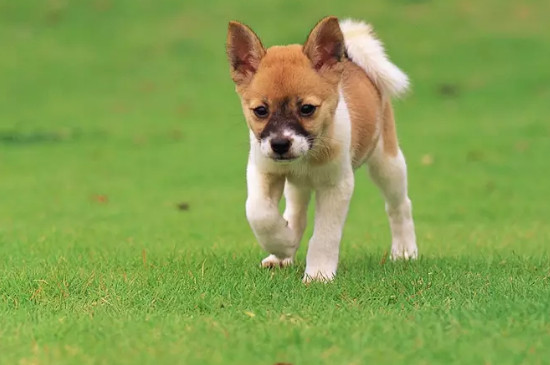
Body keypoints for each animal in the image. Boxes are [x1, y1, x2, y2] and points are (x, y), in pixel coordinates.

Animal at [225, 15, 418, 280]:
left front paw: (318, 273)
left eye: (307, 108)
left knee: (399, 205)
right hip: (297, 186)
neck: (307, 155)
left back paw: (405, 250)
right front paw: (283, 244)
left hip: (387, 163)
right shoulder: (263, 171)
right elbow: (258, 212)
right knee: (296, 214)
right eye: (260, 111)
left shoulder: (336, 186)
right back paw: (282, 253)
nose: (280, 144)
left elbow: (326, 234)